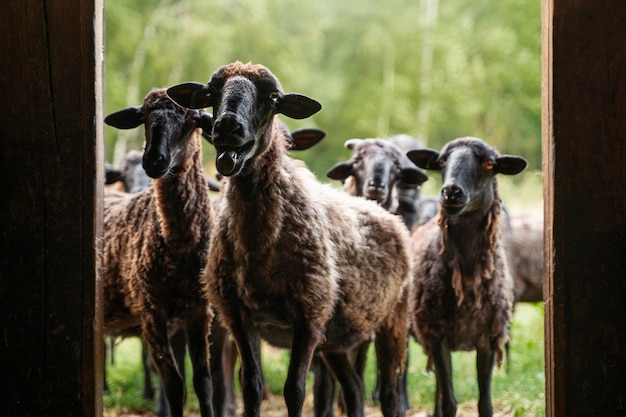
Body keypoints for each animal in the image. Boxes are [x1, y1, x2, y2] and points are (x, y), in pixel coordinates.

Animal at [102, 88, 217, 416]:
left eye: (194, 119)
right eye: (143, 116)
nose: (154, 159)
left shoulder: (199, 310)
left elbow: (203, 382)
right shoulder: (151, 309)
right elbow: (174, 383)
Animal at [166, 61, 412, 416]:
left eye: (272, 98)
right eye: (211, 94)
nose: (227, 127)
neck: (259, 245)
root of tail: (388, 214)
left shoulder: (309, 312)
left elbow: (294, 389)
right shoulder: (239, 314)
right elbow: (251, 386)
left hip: (393, 318)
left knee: (390, 392)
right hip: (335, 337)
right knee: (354, 387)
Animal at [404, 136, 528, 416]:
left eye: (489, 164)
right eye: (441, 162)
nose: (451, 192)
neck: (469, 280)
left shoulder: (488, 340)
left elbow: (485, 404)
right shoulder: (438, 337)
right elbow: (450, 402)